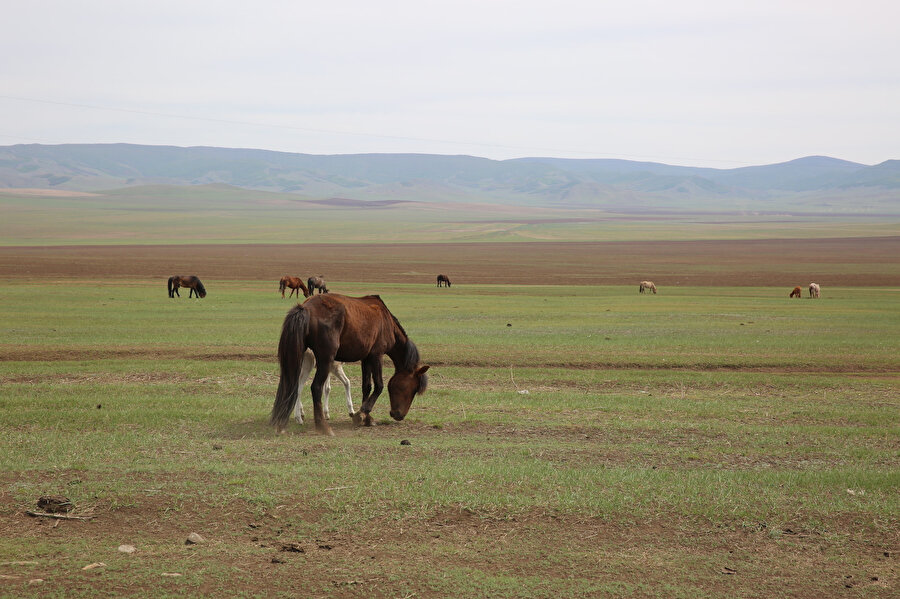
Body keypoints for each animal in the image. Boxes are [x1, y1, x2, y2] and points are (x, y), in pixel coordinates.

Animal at [270, 294, 428, 436]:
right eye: (412, 388)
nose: (399, 415)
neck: (386, 321)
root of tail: (306, 307)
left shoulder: (366, 358)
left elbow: (366, 386)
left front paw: (366, 418)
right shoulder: (377, 355)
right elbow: (379, 386)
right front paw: (362, 413)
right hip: (325, 359)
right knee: (316, 388)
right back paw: (323, 426)